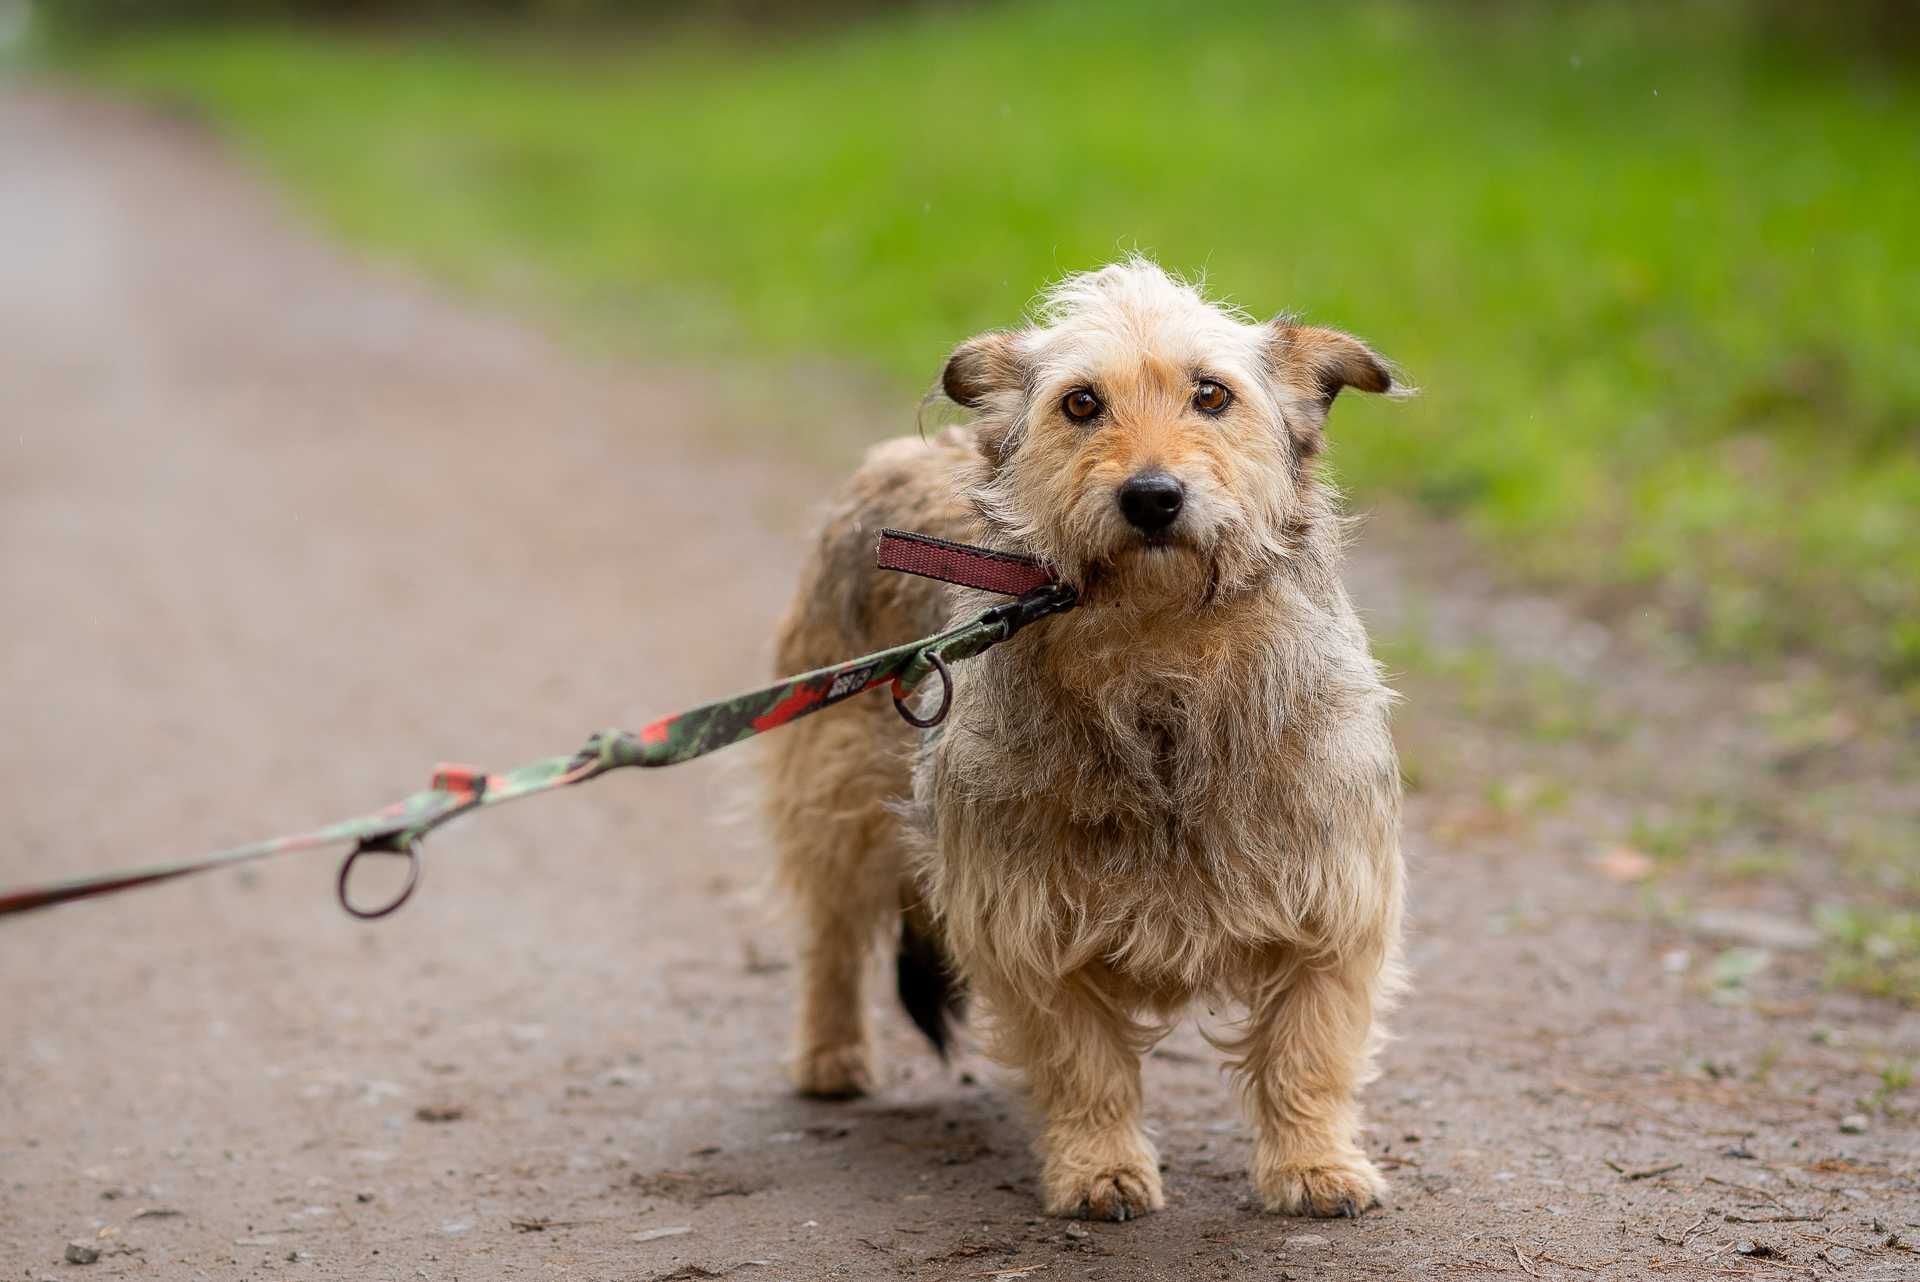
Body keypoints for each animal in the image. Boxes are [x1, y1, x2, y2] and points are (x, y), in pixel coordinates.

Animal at [764, 257, 1413, 1220]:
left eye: (1211, 395)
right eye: (1080, 403)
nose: (1152, 496)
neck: (1161, 652)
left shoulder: (1333, 898)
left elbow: (1310, 1050)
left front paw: (1314, 1165)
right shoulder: (1025, 913)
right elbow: (1084, 1063)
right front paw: (1099, 1167)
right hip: (833, 799)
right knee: (832, 939)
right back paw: (831, 1057)